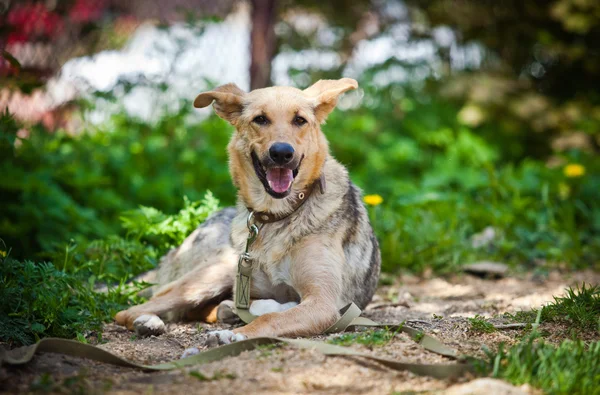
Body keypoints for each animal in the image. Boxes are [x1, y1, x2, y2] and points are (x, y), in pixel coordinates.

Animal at [113, 79, 380, 344]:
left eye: (299, 120)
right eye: (260, 119)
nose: (282, 153)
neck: (277, 216)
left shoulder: (323, 302)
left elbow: (271, 317)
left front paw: (235, 331)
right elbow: (269, 314)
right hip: (218, 270)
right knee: (135, 308)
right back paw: (149, 321)